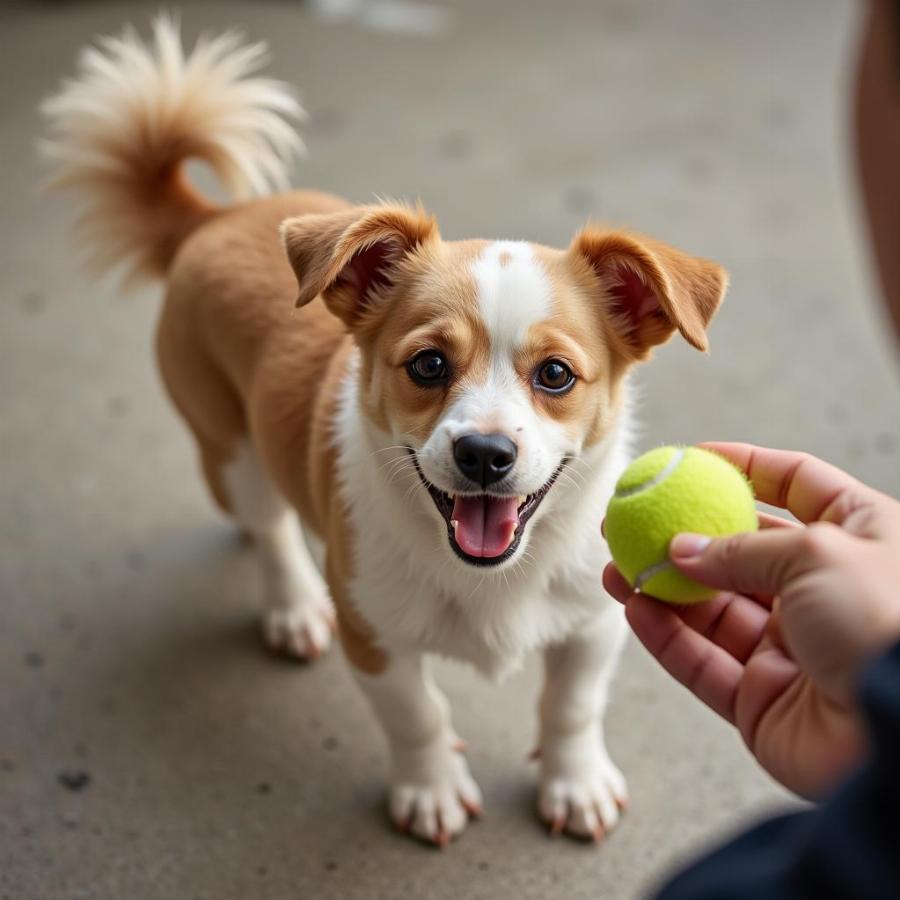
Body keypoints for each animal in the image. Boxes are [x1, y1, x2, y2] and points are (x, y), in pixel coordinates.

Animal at [42, 15, 728, 844]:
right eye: (429, 365)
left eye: (556, 376)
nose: (485, 454)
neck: (493, 576)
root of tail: (215, 218)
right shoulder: (374, 638)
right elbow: (418, 717)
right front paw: (431, 790)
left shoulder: (592, 624)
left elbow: (571, 706)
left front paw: (575, 782)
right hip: (230, 449)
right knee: (269, 526)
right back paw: (293, 605)